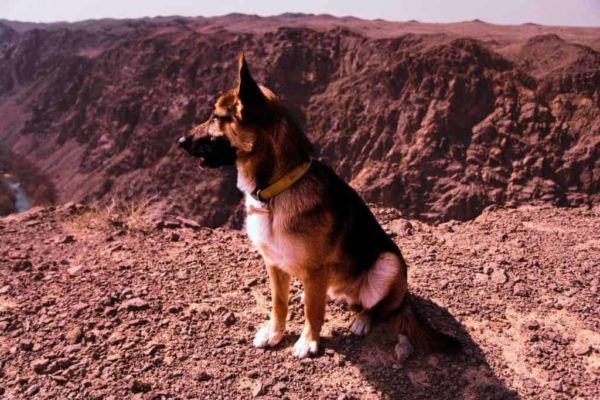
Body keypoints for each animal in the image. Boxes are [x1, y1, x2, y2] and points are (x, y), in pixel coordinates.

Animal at [178, 54, 460, 360]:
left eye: (216, 117)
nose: (180, 141)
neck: (276, 190)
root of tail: (405, 295)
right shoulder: (274, 264)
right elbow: (279, 304)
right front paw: (275, 332)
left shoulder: (315, 269)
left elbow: (313, 311)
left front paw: (308, 341)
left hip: (389, 264)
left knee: (378, 307)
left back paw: (362, 319)